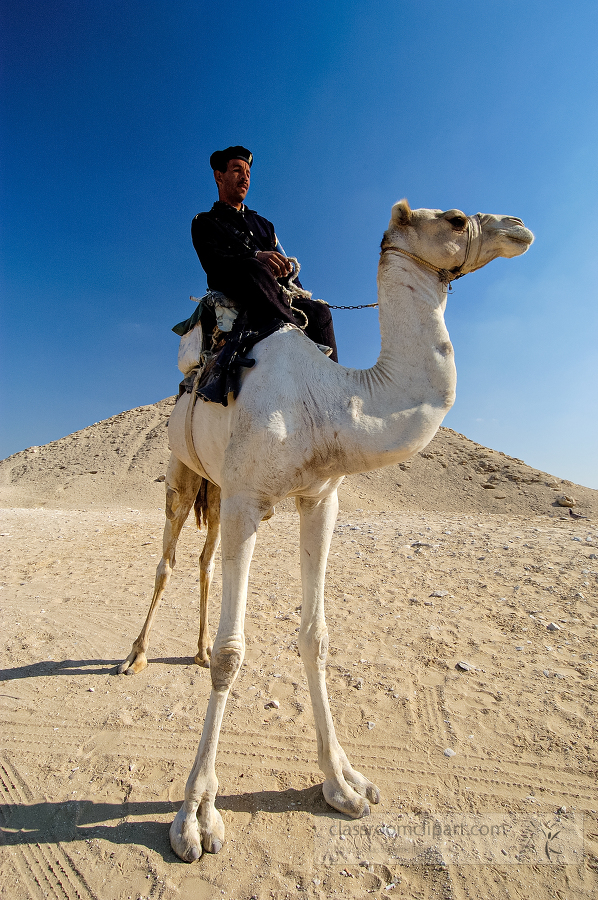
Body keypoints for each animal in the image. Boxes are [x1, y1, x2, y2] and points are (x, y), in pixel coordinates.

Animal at [117, 200, 536, 860]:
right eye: (453, 217)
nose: (517, 225)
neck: (334, 402)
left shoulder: (319, 499)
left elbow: (315, 636)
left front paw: (344, 784)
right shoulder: (247, 501)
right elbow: (234, 656)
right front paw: (196, 816)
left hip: (215, 485)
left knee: (204, 559)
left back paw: (196, 646)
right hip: (182, 472)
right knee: (168, 559)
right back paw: (134, 657)